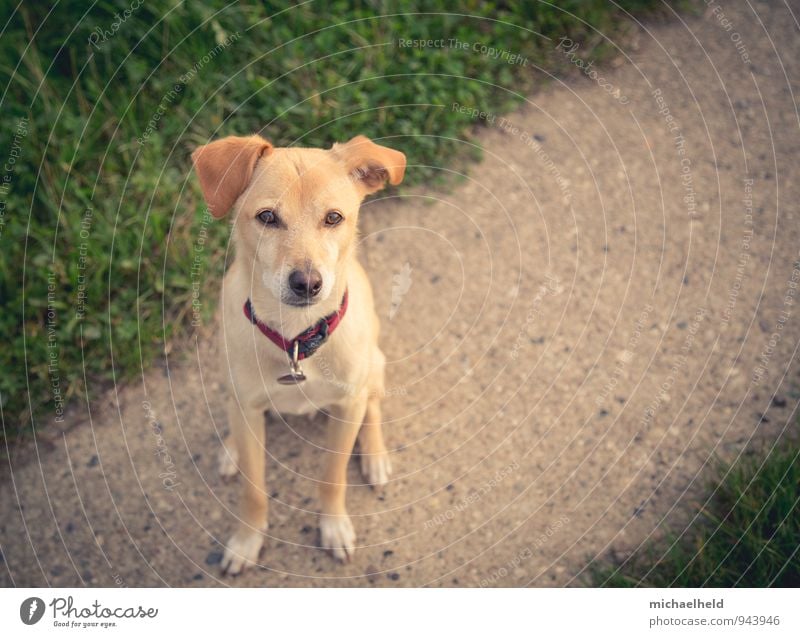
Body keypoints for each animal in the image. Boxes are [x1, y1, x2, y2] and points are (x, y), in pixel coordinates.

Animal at [191, 133, 406, 572]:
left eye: (334, 218)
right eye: (267, 217)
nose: (307, 283)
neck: (295, 340)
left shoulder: (347, 407)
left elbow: (332, 476)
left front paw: (334, 526)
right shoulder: (248, 407)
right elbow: (253, 490)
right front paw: (247, 540)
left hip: (374, 366)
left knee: (373, 407)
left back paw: (374, 454)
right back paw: (231, 450)